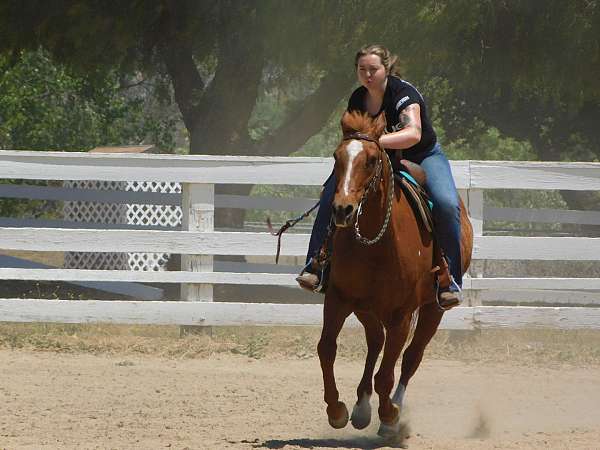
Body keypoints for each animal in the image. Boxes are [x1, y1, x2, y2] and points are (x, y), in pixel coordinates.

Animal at [318, 110, 474, 438]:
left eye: (371, 160)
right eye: (337, 157)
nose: (342, 210)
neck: (377, 242)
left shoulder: (401, 315)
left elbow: (387, 373)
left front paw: (389, 415)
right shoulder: (338, 299)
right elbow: (326, 349)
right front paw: (337, 410)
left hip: (431, 309)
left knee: (411, 356)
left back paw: (392, 409)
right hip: (365, 307)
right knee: (376, 341)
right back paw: (362, 407)